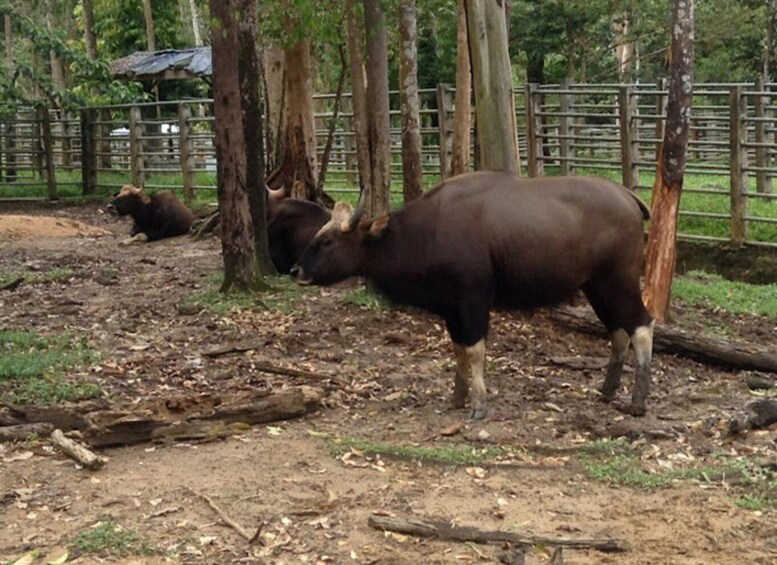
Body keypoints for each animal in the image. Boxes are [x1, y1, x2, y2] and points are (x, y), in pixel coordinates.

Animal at [292, 171, 655, 419]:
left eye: (327, 242)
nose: (296, 270)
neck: (428, 232)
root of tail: (628, 197)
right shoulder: (452, 309)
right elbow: (459, 350)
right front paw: (458, 396)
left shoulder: (473, 301)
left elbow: (476, 350)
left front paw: (479, 403)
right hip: (596, 287)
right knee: (618, 332)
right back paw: (607, 391)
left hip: (618, 281)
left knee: (642, 325)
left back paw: (638, 402)